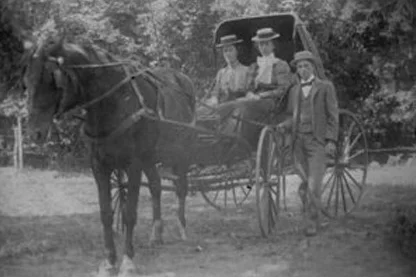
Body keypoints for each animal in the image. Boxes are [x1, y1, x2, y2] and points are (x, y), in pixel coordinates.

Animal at [22, 37, 197, 276]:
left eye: (53, 80)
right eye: (27, 80)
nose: (34, 132)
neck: (114, 100)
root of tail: (183, 80)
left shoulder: (133, 164)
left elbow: (130, 213)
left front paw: (128, 261)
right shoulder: (99, 166)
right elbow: (106, 214)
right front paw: (108, 261)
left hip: (181, 152)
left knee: (181, 187)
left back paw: (182, 228)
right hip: (150, 157)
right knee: (156, 185)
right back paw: (156, 233)